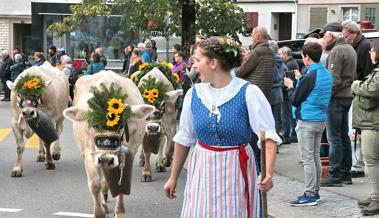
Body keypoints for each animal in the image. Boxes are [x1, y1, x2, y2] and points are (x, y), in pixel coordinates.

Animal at [63, 70, 154, 218]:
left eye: (121, 125)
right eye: (94, 124)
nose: (106, 159)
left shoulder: (128, 152)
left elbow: (121, 184)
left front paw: (120, 212)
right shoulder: (89, 153)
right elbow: (95, 184)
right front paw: (99, 212)